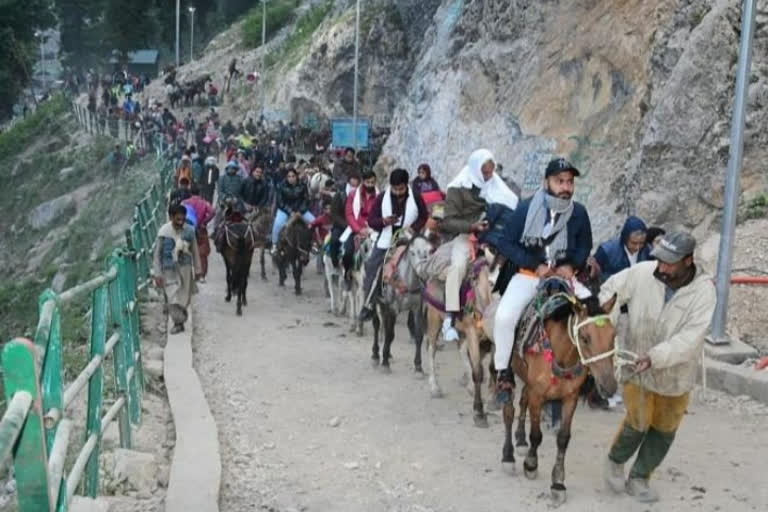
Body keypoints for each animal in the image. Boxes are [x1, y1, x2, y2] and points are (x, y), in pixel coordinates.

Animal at [492, 282, 616, 506]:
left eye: (614, 335)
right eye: (585, 338)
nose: (609, 386)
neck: (561, 355)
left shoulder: (570, 397)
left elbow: (563, 439)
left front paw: (558, 482)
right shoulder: (538, 395)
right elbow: (536, 435)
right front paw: (531, 464)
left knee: (522, 400)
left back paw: (520, 440)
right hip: (507, 371)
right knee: (509, 410)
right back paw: (508, 456)